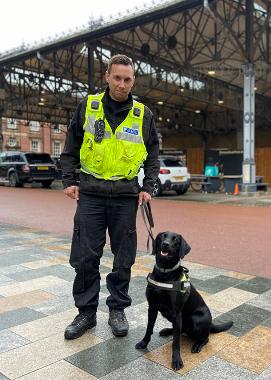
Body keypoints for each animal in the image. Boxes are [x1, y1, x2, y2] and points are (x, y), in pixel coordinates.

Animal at [136, 232, 234, 372]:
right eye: (162, 236)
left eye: (175, 240)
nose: (165, 244)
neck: (165, 273)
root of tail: (211, 323)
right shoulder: (152, 307)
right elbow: (149, 328)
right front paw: (144, 343)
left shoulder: (177, 313)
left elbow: (176, 342)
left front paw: (177, 360)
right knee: (181, 330)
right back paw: (167, 330)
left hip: (196, 319)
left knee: (205, 337)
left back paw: (197, 345)